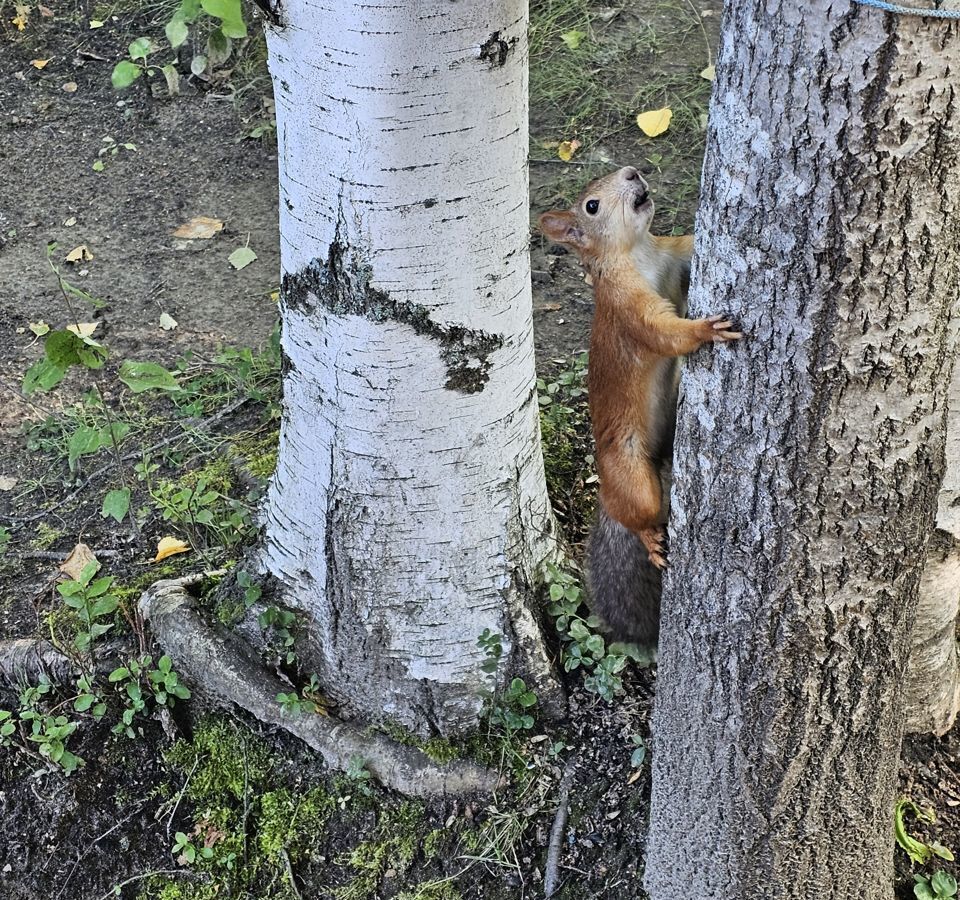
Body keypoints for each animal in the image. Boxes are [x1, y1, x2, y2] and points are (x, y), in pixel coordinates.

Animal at [540, 167, 744, 648]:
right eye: (592, 205)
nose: (632, 172)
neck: (639, 252)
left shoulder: (673, 255)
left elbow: (688, 245)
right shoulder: (627, 308)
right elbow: (665, 333)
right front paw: (706, 330)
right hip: (630, 475)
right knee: (636, 511)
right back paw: (649, 537)